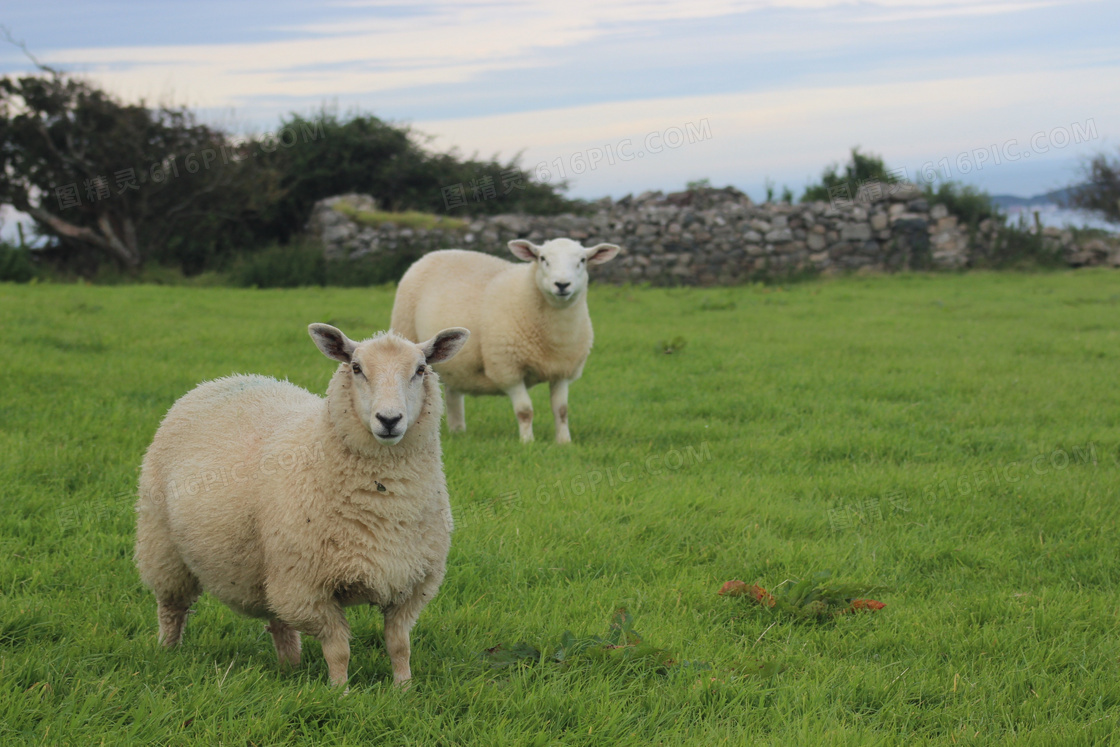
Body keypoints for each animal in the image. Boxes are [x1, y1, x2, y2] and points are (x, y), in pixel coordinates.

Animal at [134, 324, 468, 685]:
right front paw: (340, 691)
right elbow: (338, 650)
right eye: (356, 368)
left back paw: (290, 666)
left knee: (277, 619)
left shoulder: (411, 584)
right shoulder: (308, 588)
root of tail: (223, 380)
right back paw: (169, 651)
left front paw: (403, 689)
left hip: (269, 567)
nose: (389, 419)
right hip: (163, 546)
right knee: (172, 608)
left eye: (420, 369)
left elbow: (399, 645)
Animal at [392, 236, 622, 441]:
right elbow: (525, 410)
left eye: (582, 260)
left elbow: (562, 410)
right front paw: (527, 441)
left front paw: (564, 442)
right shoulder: (507, 367)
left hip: (455, 363)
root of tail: (436, 252)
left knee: (453, 393)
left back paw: (458, 431)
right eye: (543, 259)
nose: (562, 285)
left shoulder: (562, 370)